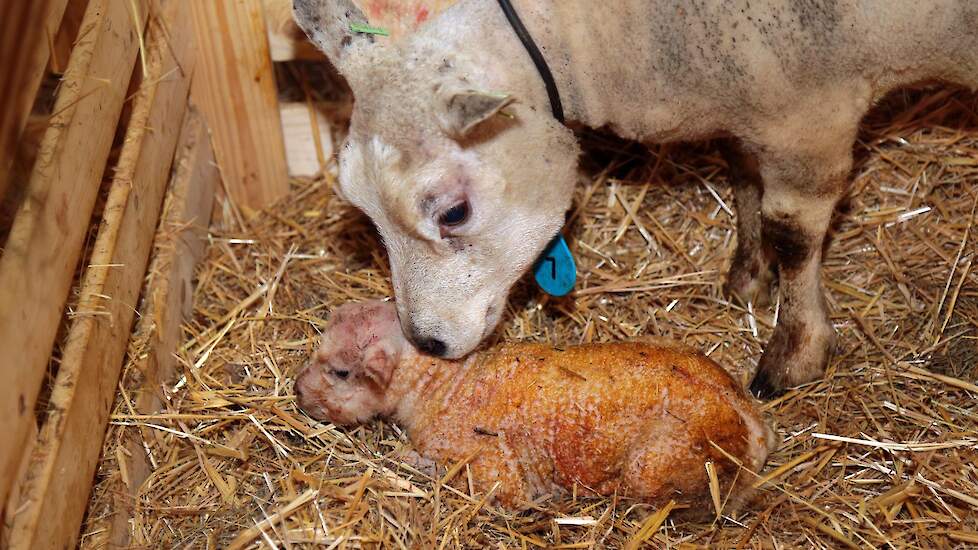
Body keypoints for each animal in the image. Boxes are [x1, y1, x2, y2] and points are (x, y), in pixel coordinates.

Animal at [294, 302, 772, 512]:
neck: (447, 385)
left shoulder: (496, 472)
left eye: (341, 372)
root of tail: (754, 425)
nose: (297, 393)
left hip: (657, 465)